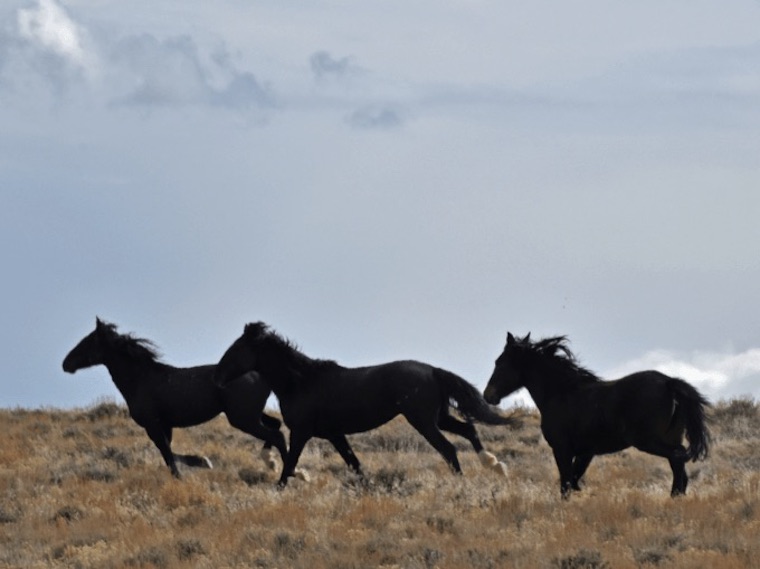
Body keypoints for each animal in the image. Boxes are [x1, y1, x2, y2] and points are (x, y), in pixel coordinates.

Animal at [62, 318, 288, 478]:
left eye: (88, 342)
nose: (66, 363)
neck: (141, 379)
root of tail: (261, 374)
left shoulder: (152, 424)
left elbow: (167, 453)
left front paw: (199, 464)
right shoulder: (164, 425)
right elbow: (168, 452)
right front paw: (202, 461)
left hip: (243, 418)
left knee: (277, 435)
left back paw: (282, 472)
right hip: (250, 415)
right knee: (276, 426)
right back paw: (274, 464)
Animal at [215, 322, 515, 487]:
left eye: (237, 349)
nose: (217, 376)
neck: (301, 382)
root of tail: (433, 371)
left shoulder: (301, 432)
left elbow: (290, 464)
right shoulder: (334, 434)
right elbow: (354, 464)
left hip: (422, 420)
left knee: (449, 448)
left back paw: (462, 483)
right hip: (438, 417)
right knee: (469, 431)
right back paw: (493, 464)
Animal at [483, 332, 711, 498]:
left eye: (500, 363)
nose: (488, 395)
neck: (561, 393)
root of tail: (669, 382)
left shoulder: (562, 449)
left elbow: (566, 484)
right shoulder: (586, 452)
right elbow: (574, 479)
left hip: (647, 440)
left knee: (678, 456)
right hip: (668, 437)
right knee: (678, 464)